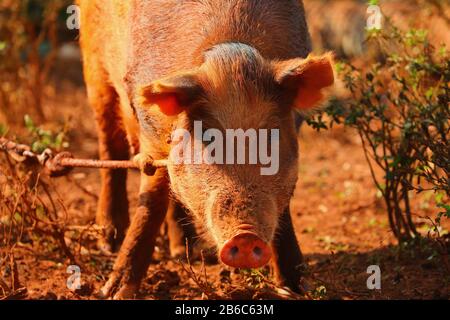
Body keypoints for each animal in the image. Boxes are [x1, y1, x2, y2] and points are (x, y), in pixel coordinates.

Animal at [79, 0, 334, 300]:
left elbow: (284, 208)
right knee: (111, 147)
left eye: (271, 136)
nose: (245, 236)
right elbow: (151, 201)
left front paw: (298, 288)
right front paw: (113, 292)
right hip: (94, 67)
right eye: (209, 137)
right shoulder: (150, 132)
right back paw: (109, 241)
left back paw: (185, 250)